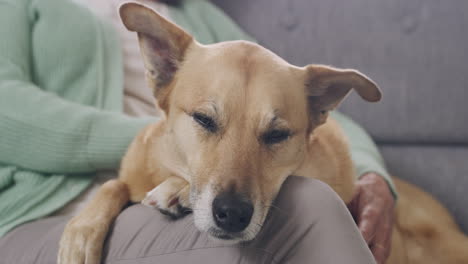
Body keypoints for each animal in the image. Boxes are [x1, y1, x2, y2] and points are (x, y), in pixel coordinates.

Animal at [57, 2, 468, 264]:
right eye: (203, 120)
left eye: (277, 135)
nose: (232, 215)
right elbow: (114, 185)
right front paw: (80, 234)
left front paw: (177, 191)